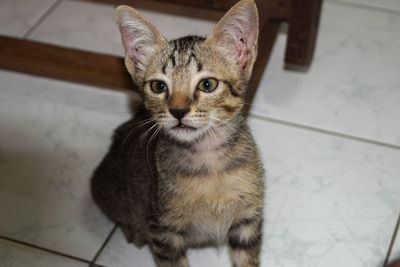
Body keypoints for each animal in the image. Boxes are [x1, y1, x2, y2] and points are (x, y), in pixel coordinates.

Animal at [92, 1, 264, 266]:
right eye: (158, 86)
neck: (208, 159)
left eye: (207, 85)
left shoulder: (247, 221)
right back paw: (132, 229)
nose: (178, 111)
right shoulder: (163, 230)